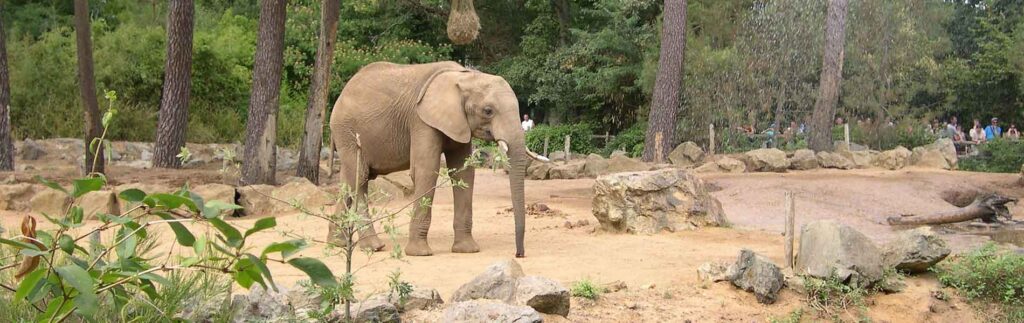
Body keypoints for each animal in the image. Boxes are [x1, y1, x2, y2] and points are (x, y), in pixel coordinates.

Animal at [331, 61, 548, 258]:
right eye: (488, 111)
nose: (519, 254)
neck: (465, 76)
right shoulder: (421, 120)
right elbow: (427, 169)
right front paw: (420, 253)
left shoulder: (459, 123)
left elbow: (463, 173)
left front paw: (467, 250)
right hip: (347, 132)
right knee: (359, 177)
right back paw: (368, 246)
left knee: (351, 180)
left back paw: (341, 243)